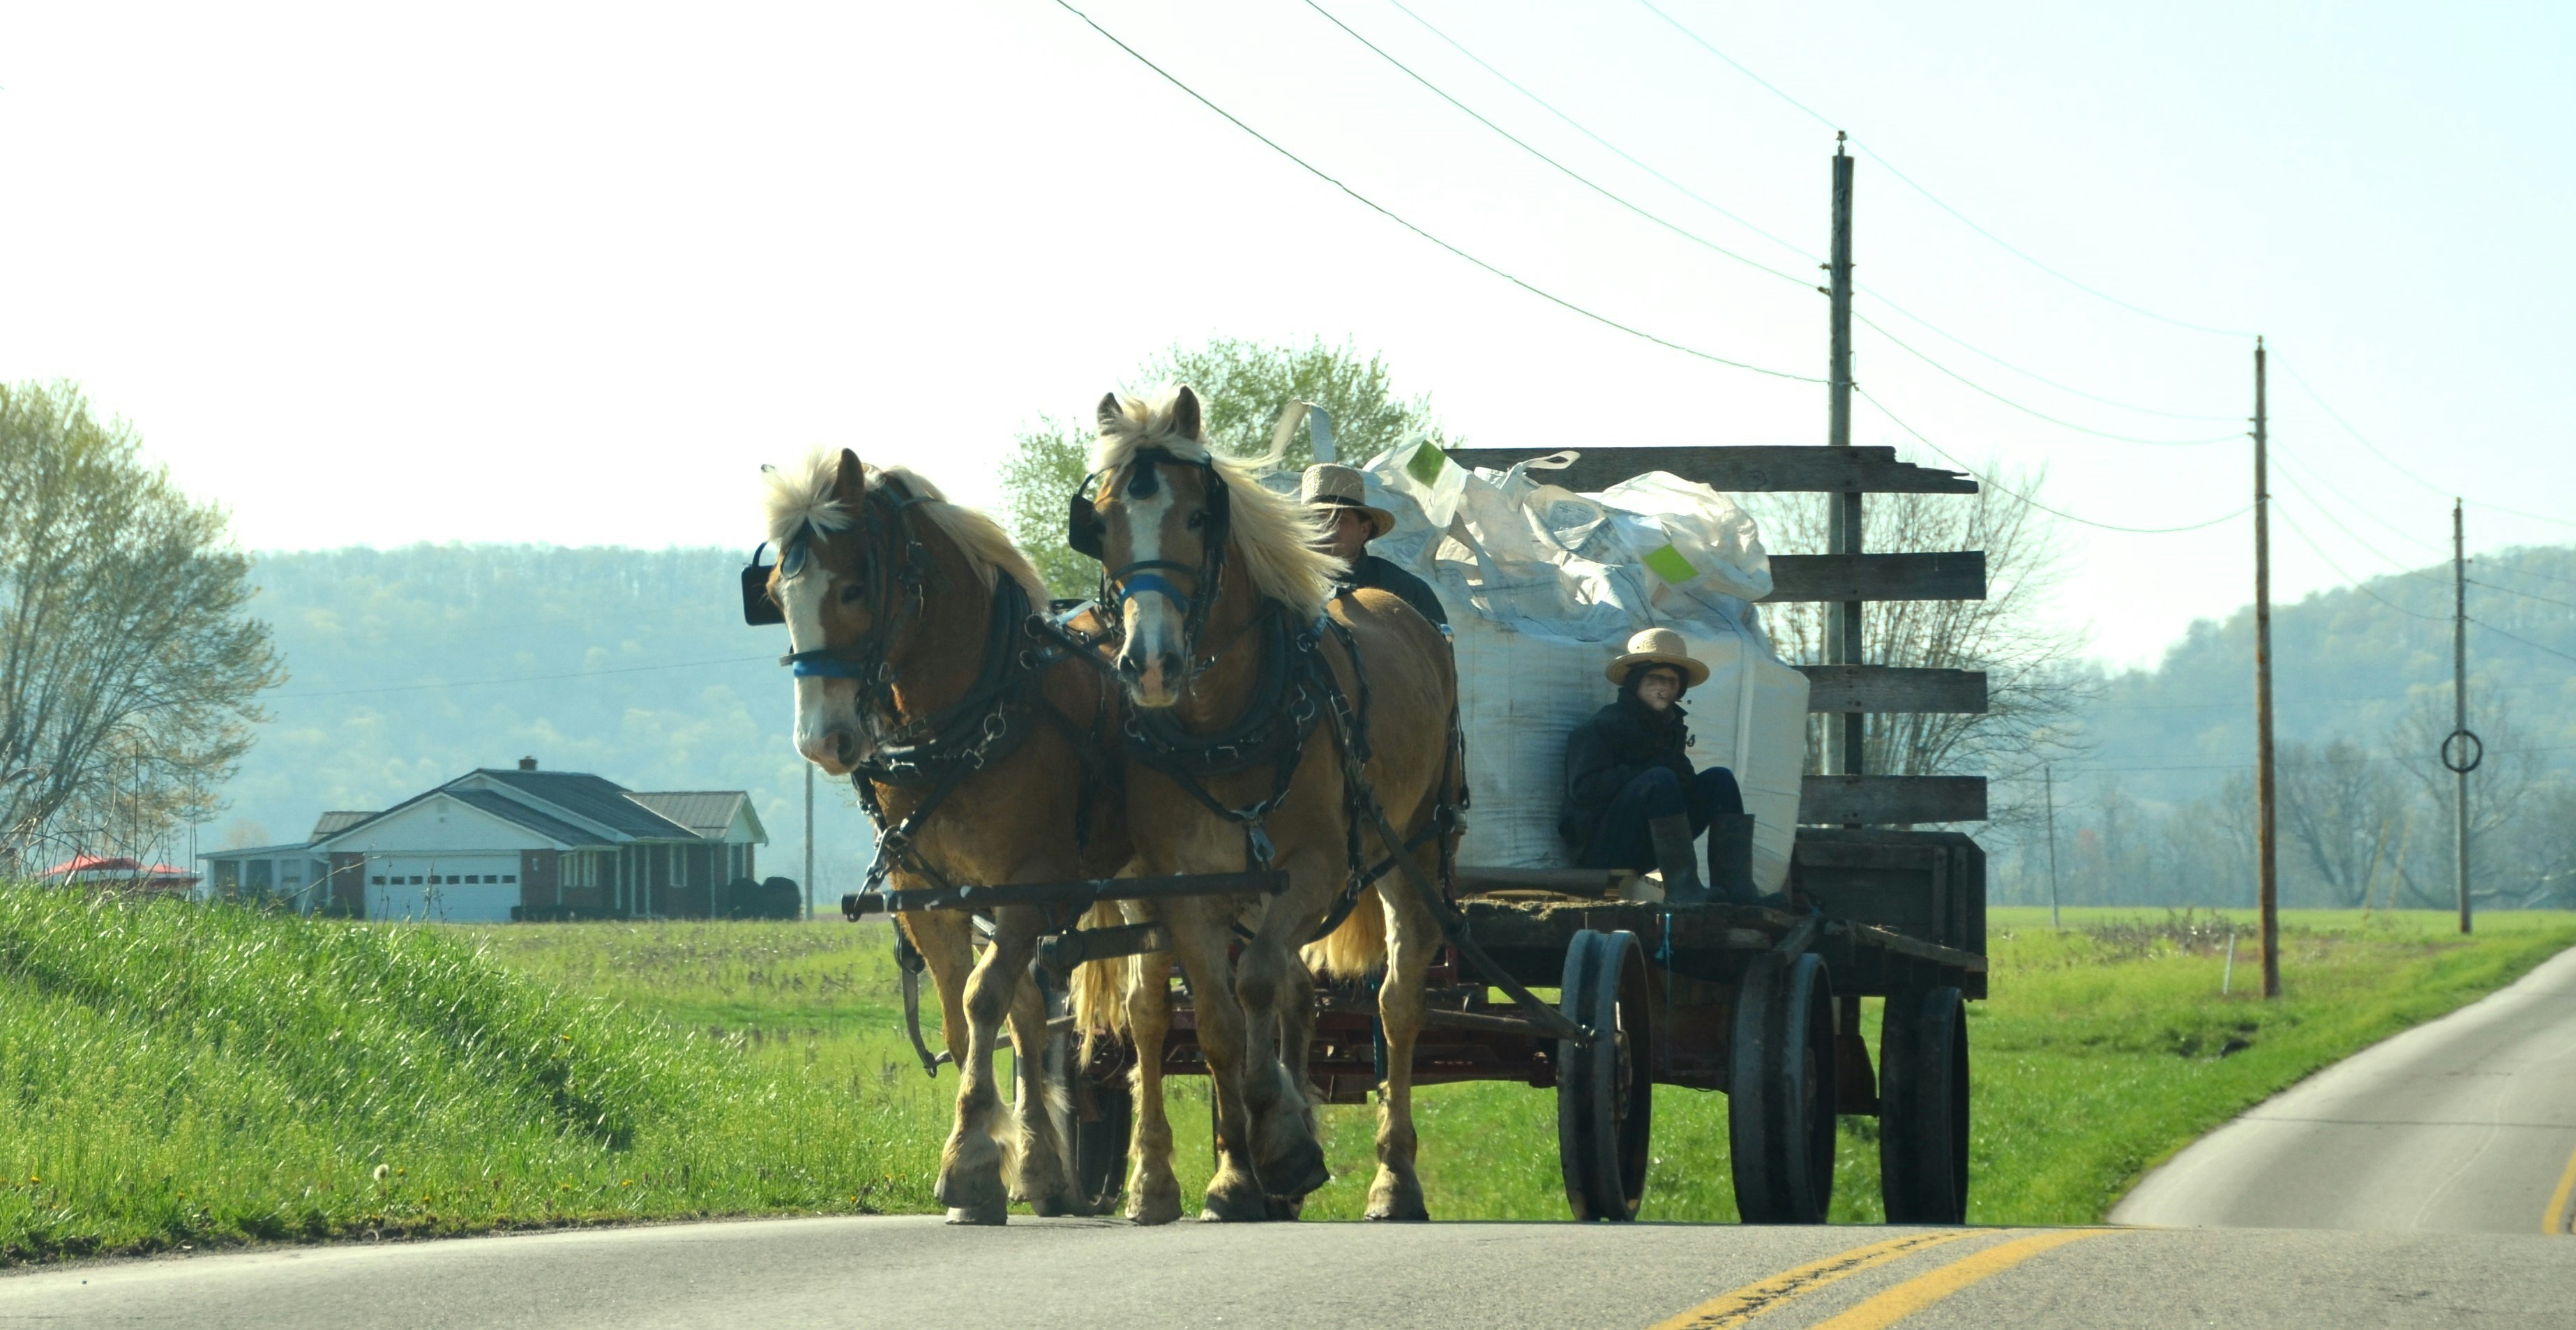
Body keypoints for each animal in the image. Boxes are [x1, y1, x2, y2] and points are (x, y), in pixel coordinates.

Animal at [761, 448, 1128, 1225]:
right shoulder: (929, 895)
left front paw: (967, 1161)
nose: (822, 742)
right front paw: (1001, 1163)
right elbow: (968, 1018)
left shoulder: (1028, 886)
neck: (973, 717)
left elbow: (983, 1001)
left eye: (853, 588)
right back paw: (1052, 1169)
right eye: (776, 593)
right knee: (1034, 1010)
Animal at [1069, 386, 1460, 1223]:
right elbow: (1214, 1019)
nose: (1151, 665)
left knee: (1396, 1001)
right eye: (1103, 522)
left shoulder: (1314, 868)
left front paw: (1277, 1141)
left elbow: (1254, 987)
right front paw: (1238, 1171)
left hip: (1412, 851)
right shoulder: (1187, 887)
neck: (1226, 723)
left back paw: (1394, 1179)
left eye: (1196, 516)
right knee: (1222, 1001)